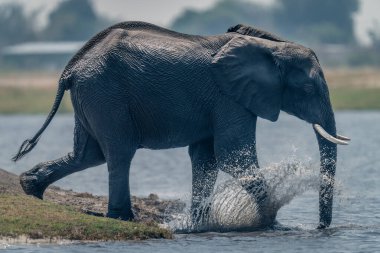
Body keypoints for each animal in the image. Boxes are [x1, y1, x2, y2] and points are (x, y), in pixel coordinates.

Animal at [13, 20, 348, 228]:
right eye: (308, 88)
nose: (320, 227)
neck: (268, 45)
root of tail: (69, 68)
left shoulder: (220, 102)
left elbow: (207, 159)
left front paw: (199, 224)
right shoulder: (229, 97)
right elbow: (233, 156)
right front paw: (271, 224)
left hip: (92, 96)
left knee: (89, 154)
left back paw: (30, 187)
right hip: (105, 95)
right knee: (119, 153)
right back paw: (123, 219)